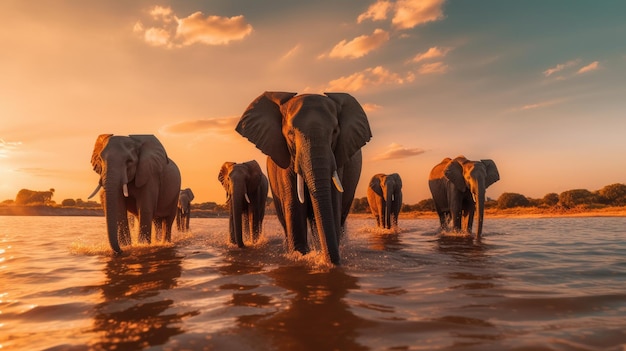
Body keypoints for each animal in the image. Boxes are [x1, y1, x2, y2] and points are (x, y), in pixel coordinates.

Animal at [235, 92, 370, 266]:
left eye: (335, 132)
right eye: (290, 134)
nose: (333, 262)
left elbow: (333, 203)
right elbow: (293, 204)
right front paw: (300, 255)